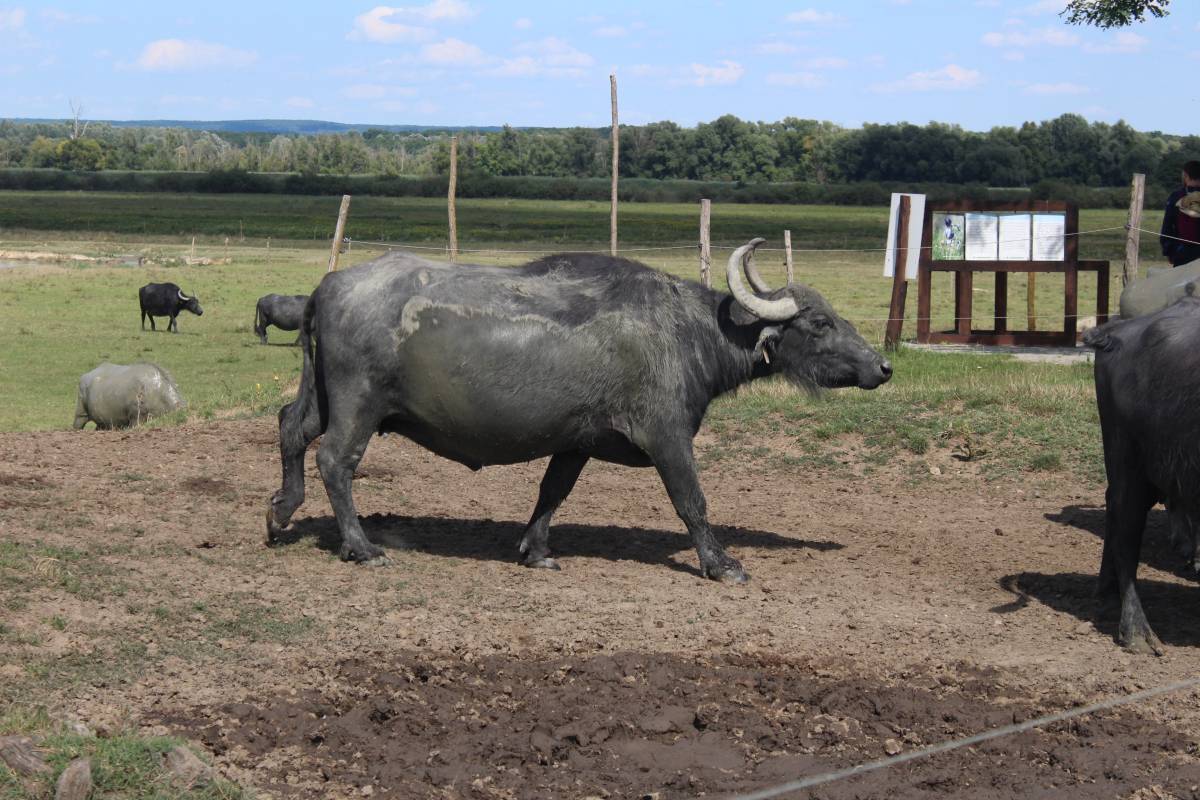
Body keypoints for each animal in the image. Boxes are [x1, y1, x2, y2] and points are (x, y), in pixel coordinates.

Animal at [267, 239, 892, 581]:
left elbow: (553, 492)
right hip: (359, 405)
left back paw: (281, 513)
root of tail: (327, 287)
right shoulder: (668, 436)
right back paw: (362, 547)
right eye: (819, 322)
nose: (882, 366)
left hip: (323, 396)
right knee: (335, 462)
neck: (687, 331)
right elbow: (692, 501)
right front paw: (722, 563)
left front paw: (536, 551)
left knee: (291, 428)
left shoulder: (575, 440)